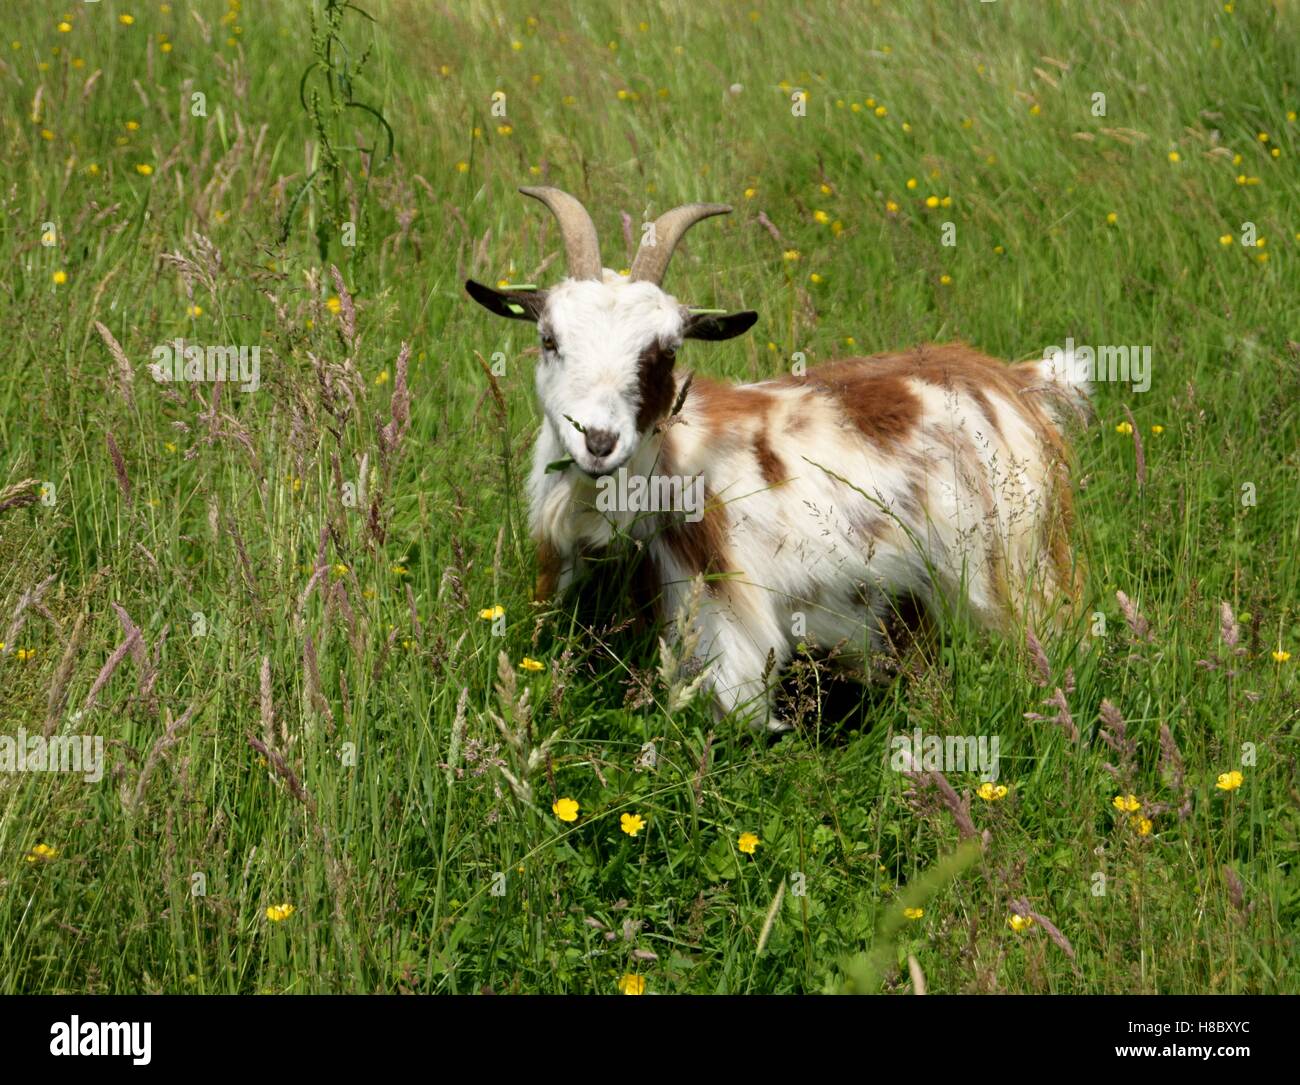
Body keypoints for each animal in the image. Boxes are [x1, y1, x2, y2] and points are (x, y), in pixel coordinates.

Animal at [467, 187, 1086, 732]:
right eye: (549, 339)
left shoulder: (725, 635)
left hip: (1015, 577)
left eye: (666, 351)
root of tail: (1014, 382)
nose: (598, 441)